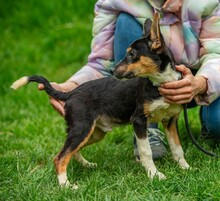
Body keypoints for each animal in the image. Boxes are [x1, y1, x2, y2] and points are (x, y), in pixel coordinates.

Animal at [11, 13, 189, 188]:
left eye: (132, 54)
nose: (112, 70)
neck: (160, 83)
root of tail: (71, 94)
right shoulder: (138, 120)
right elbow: (146, 152)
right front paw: (155, 175)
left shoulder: (170, 121)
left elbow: (177, 148)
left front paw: (186, 168)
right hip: (82, 128)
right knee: (60, 157)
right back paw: (66, 185)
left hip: (93, 133)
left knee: (71, 152)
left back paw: (86, 165)